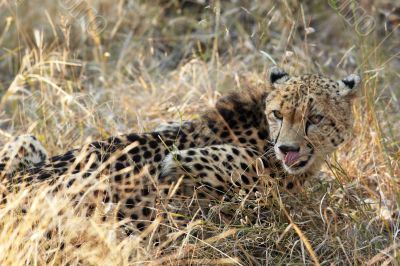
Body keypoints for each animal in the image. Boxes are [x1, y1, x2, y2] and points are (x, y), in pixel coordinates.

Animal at [0, 67, 360, 235]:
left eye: (315, 118)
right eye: (278, 114)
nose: (287, 149)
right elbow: (242, 163)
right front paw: (173, 163)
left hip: (30, 144)